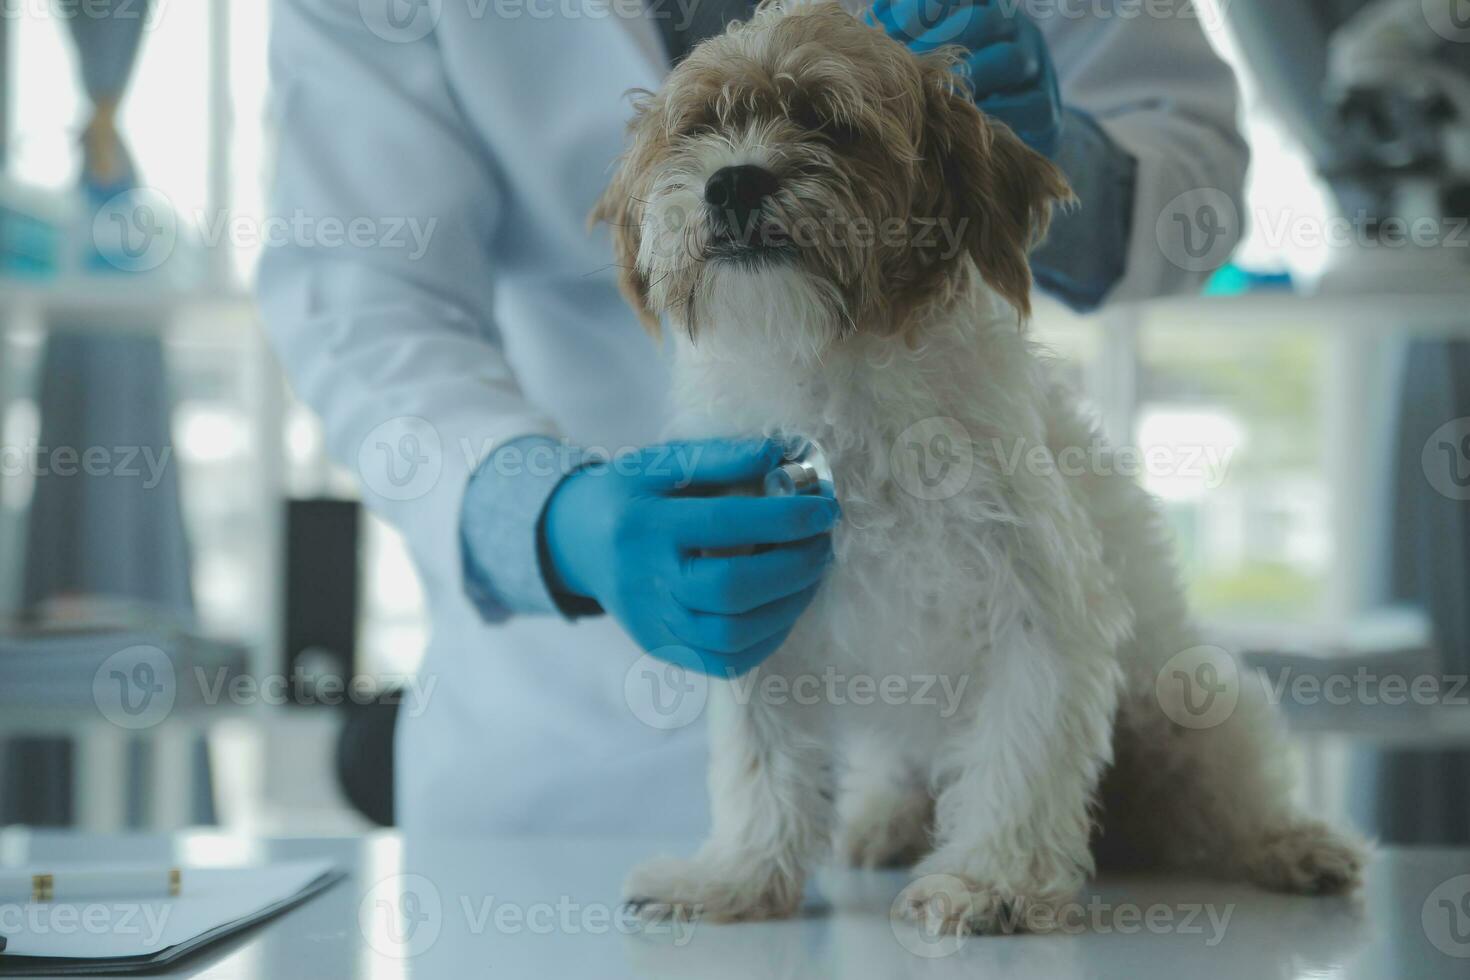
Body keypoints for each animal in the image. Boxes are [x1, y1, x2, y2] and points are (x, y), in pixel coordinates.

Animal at [593, 0, 1364, 934]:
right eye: (699, 128)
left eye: (829, 122)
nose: (732, 182)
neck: (834, 368)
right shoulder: (756, 606)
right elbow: (760, 771)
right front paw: (736, 880)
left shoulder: (1039, 611)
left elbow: (1019, 760)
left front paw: (988, 883)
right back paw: (884, 824)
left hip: (1191, 706)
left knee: (1231, 798)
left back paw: (1294, 846)